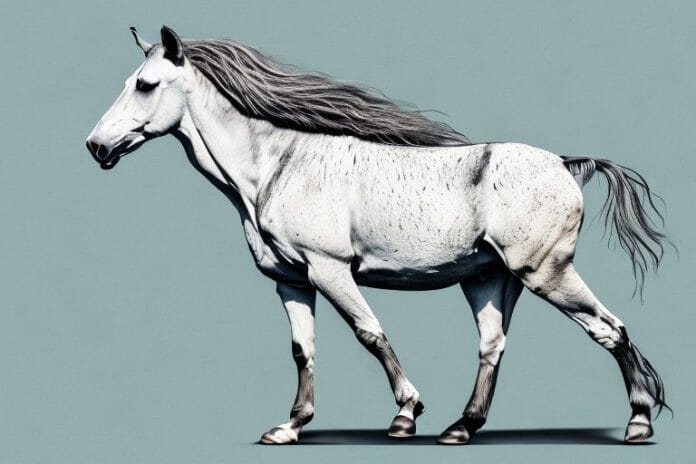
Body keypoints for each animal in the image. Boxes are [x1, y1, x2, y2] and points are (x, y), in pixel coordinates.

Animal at [86, 26, 669, 445]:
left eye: (145, 84)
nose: (96, 146)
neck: (277, 165)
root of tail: (566, 165)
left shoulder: (330, 269)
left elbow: (370, 334)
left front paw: (405, 416)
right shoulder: (291, 282)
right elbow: (303, 349)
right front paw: (289, 427)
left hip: (545, 273)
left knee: (609, 330)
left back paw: (638, 424)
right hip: (490, 281)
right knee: (492, 346)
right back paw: (461, 429)